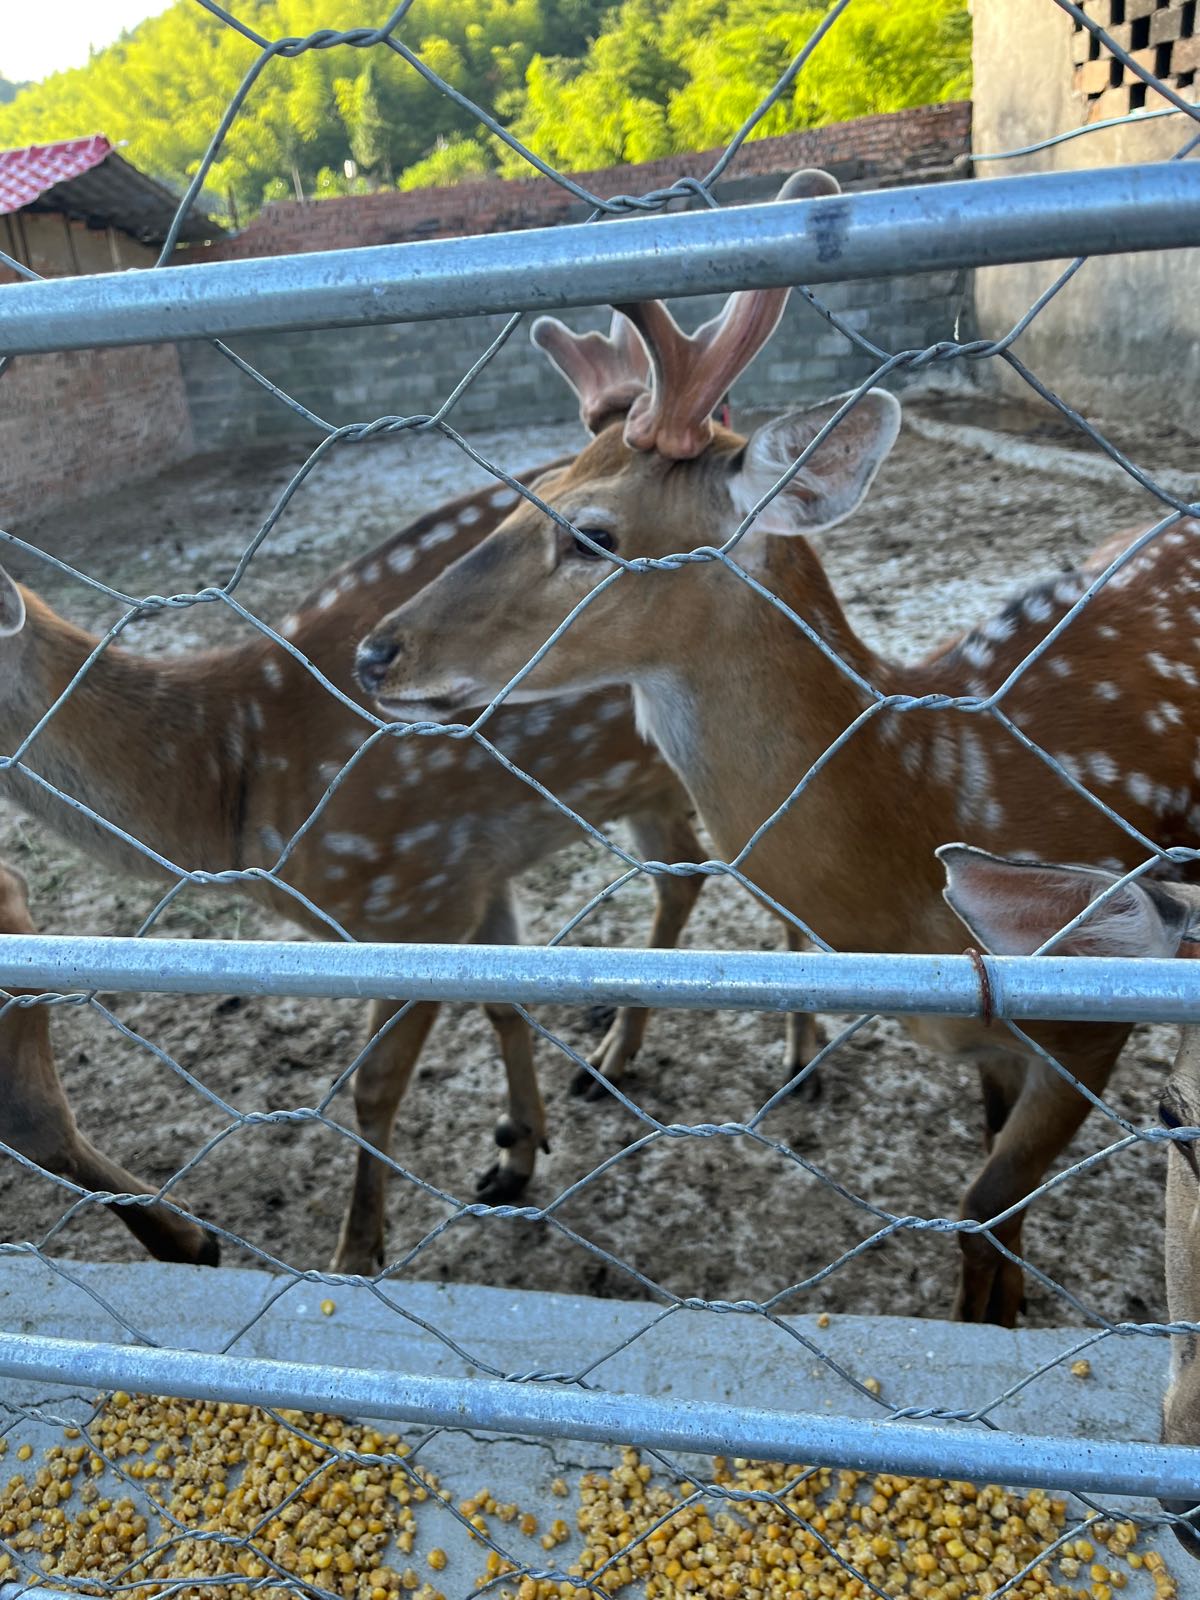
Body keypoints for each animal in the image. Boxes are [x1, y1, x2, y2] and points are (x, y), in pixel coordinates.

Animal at [355, 168, 1200, 1324]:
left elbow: (983, 1210)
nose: (374, 651)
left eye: (590, 531)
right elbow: (997, 1214)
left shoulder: (1092, 1019)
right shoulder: (999, 1045)